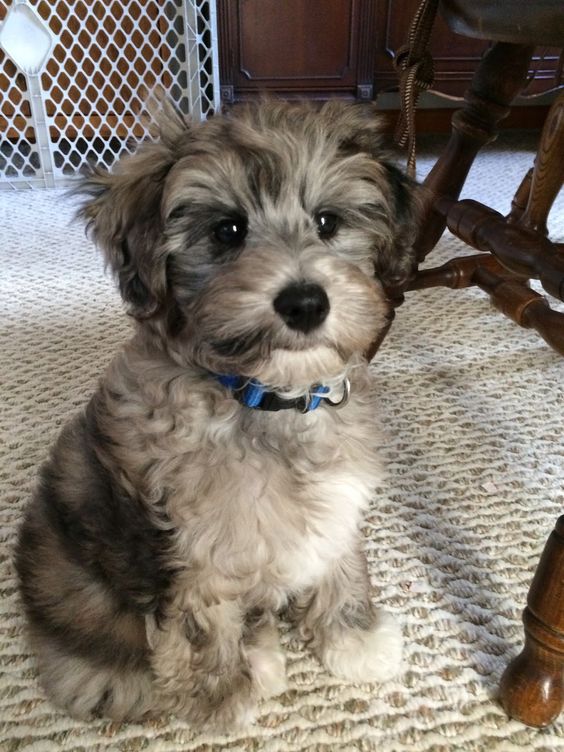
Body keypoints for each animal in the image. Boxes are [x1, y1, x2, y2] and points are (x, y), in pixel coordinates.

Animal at [15, 100, 418, 728]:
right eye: (228, 231)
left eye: (327, 222)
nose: (306, 302)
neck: (264, 396)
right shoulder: (196, 550)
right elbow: (205, 625)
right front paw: (224, 698)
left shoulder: (335, 499)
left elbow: (339, 559)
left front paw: (351, 637)